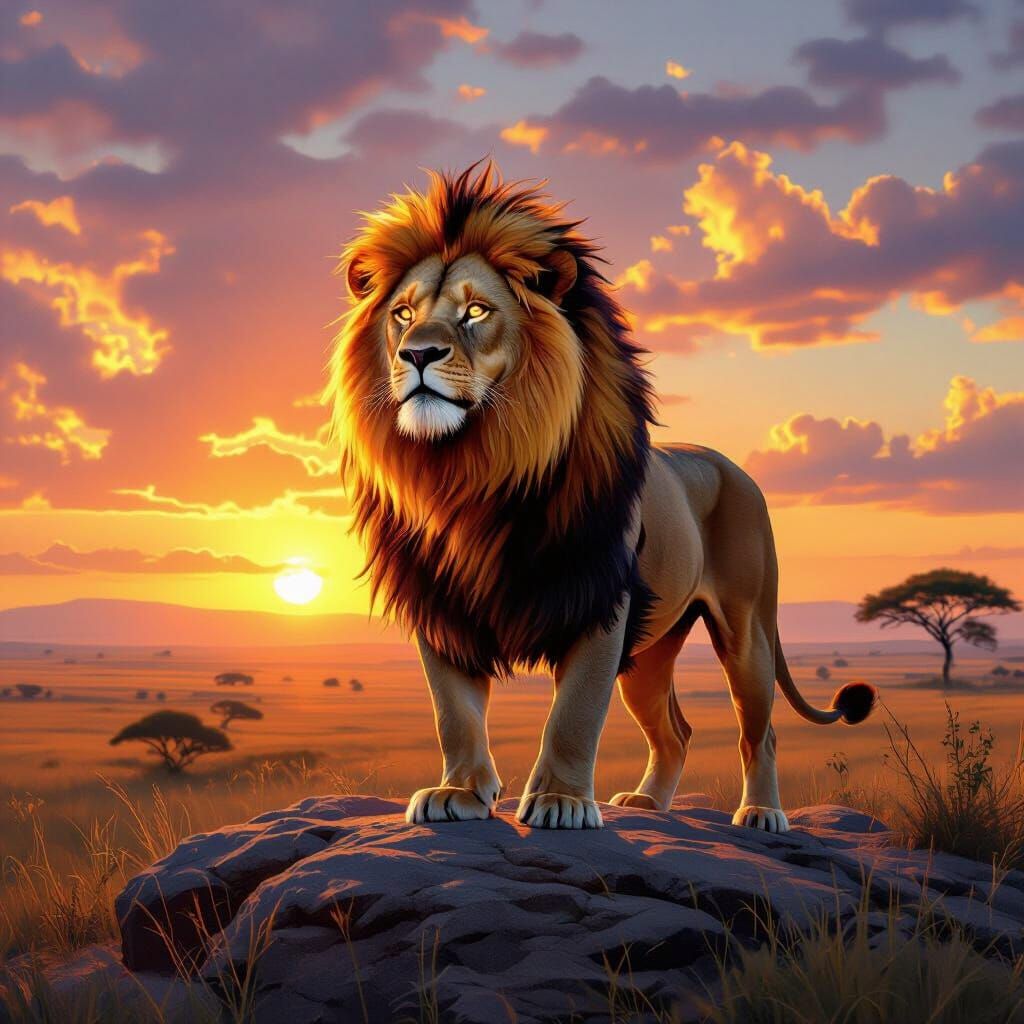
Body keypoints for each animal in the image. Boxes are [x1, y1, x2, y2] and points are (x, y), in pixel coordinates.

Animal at [329, 162, 875, 834]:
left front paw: (561, 802)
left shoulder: (600, 600)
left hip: (746, 629)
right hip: (652, 651)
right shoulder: (442, 603)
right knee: (676, 731)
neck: (473, 470)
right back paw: (646, 804)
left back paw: (762, 814)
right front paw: (458, 792)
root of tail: (732, 466)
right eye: (403, 315)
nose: (417, 354)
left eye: (476, 311)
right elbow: (453, 712)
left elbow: (575, 713)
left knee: (760, 731)